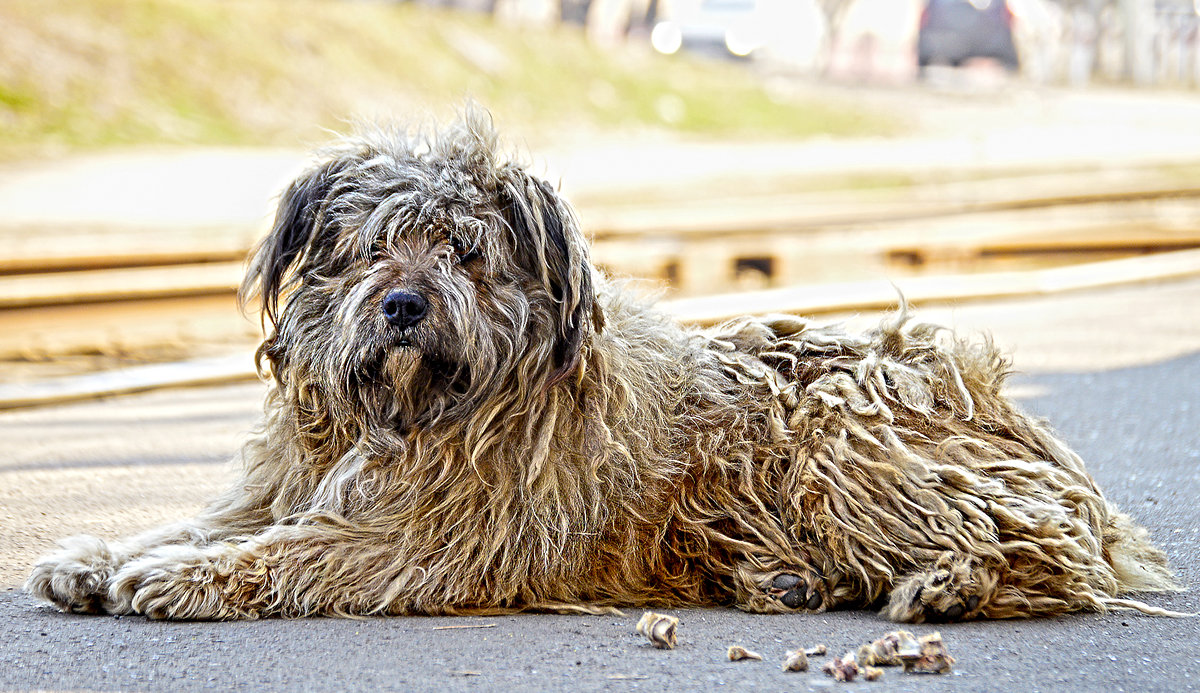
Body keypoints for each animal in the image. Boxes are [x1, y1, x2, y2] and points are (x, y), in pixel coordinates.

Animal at [25, 113, 1180, 618]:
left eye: (464, 251)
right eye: (371, 248)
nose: (402, 305)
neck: (413, 411)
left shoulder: (431, 539)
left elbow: (295, 550)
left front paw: (184, 578)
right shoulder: (286, 483)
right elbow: (203, 521)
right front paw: (99, 554)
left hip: (837, 438)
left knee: (1047, 552)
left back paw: (947, 584)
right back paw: (789, 576)